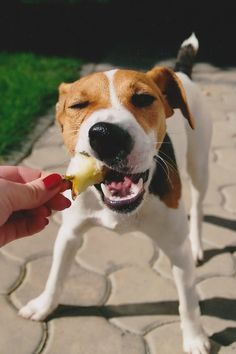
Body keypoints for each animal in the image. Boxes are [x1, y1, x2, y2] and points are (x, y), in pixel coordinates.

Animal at [19, 32, 212, 352]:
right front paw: (44, 305)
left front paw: (195, 337)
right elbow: (56, 275)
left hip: (199, 164)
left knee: (197, 206)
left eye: (143, 98)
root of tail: (182, 72)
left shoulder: (177, 250)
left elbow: (188, 301)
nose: (106, 136)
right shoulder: (70, 233)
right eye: (78, 105)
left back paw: (198, 242)